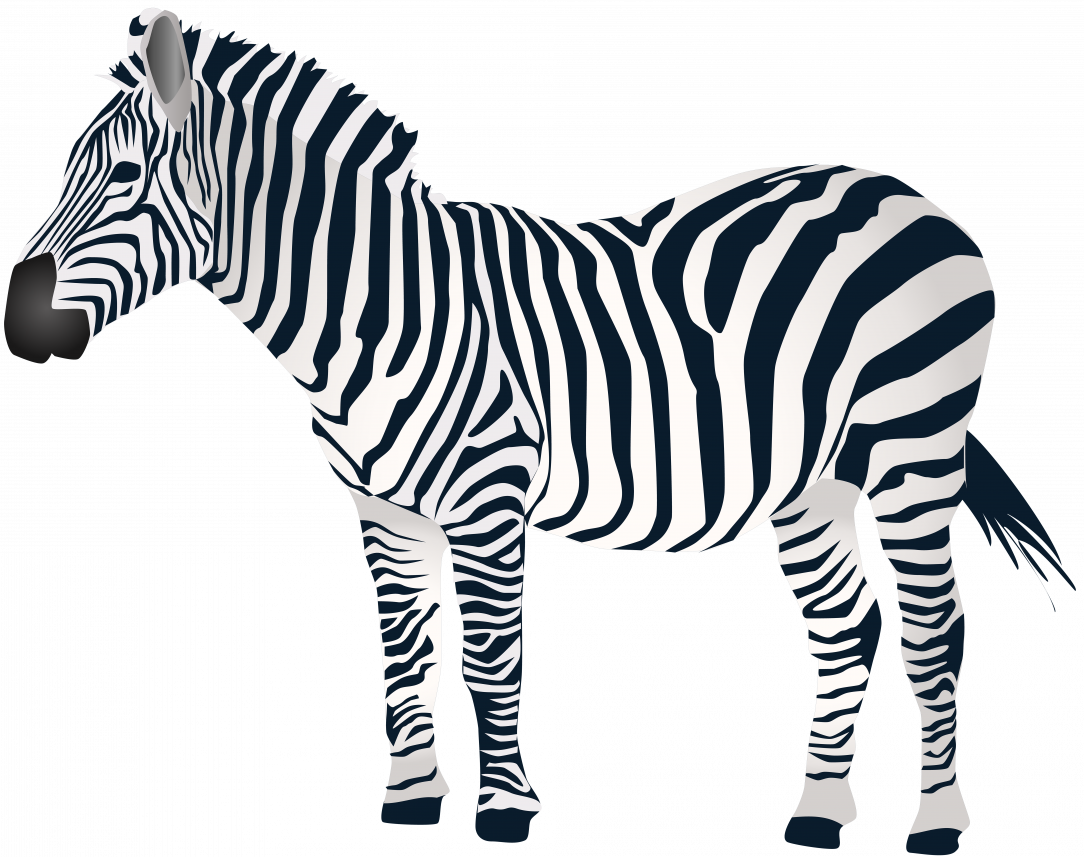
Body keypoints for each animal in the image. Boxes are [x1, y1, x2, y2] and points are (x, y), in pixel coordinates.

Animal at [5, 8, 1076, 852]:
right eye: (67, 175)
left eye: (127, 178)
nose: (18, 327)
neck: (376, 307)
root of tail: (908, 194)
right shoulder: (388, 513)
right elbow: (407, 657)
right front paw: (411, 800)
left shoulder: (488, 496)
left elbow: (489, 654)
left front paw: (504, 809)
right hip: (814, 483)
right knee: (847, 623)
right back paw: (816, 812)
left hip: (913, 451)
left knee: (936, 626)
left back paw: (937, 821)